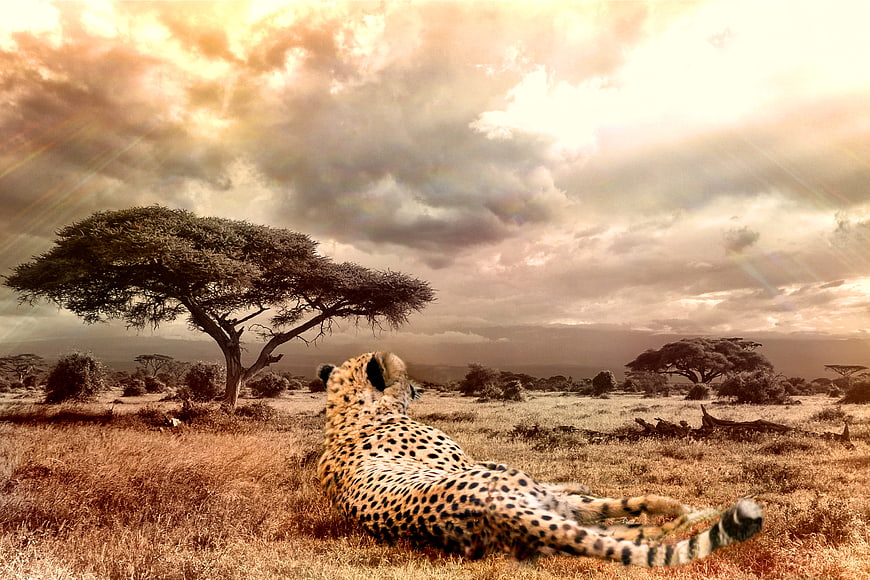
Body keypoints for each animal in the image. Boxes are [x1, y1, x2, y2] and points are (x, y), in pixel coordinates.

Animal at [317, 351, 762, 567]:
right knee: (609, 513)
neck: (347, 413)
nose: (419, 389)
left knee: (608, 524)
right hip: (528, 490)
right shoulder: (472, 463)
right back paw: (683, 509)